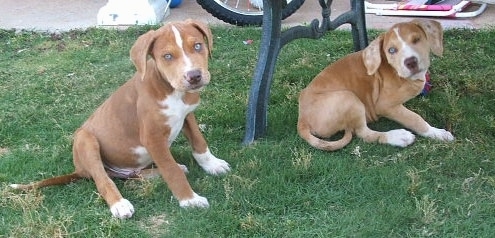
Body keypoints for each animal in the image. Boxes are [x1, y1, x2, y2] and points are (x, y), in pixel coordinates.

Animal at [9, 19, 231, 218]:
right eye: (167, 56)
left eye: (198, 46)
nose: (194, 76)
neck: (172, 91)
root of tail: (79, 170)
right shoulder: (152, 137)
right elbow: (170, 170)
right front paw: (190, 200)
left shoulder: (187, 115)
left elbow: (199, 143)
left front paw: (213, 165)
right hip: (85, 140)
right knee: (103, 179)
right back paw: (120, 204)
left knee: (134, 174)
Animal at [296, 19, 456, 152]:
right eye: (391, 50)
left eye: (417, 39)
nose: (411, 62)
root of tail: (302, 120)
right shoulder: (385, 105)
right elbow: (414, 118)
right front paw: (436, 133)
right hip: (349, 97)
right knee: (364, 134)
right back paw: (398, 137)